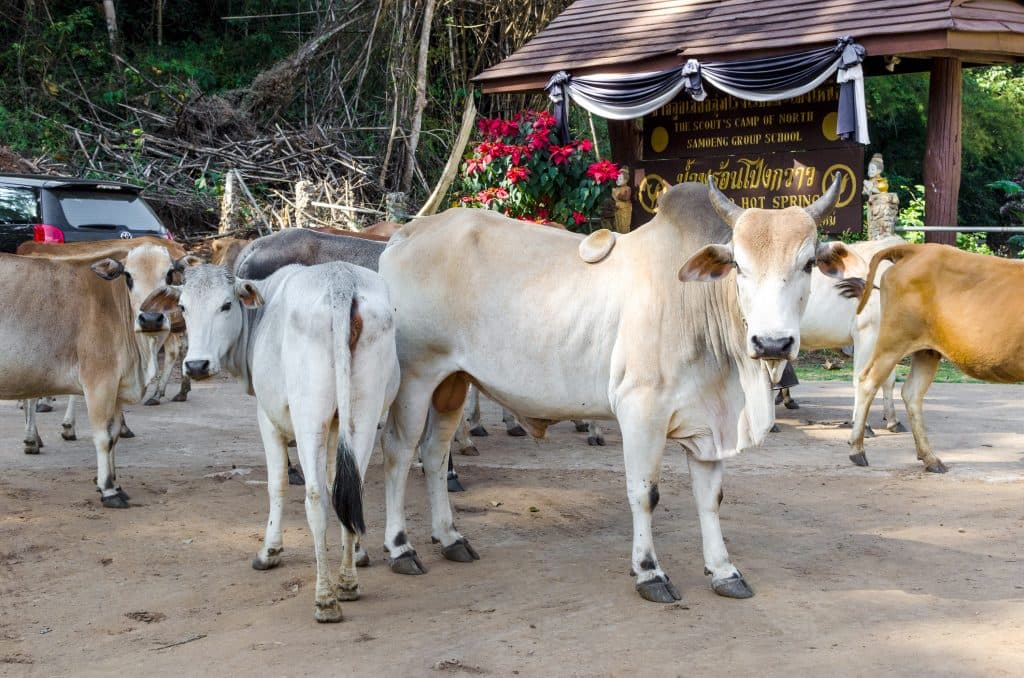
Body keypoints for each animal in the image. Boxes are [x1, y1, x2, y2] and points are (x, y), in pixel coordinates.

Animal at [0, 245, 180, 506]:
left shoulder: (116, 388)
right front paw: (108, 490)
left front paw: (115, 483)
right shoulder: (99, 383)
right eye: (128, 277)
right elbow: (103, 437)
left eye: (169, 275)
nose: (151, 319)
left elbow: (115, 434)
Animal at [142, 262, 399, 622]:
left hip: (309, 417)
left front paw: (270, 550)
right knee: (352, 487)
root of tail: (340, 282)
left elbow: (277, 483)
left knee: (315, 498)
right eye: (183, 306)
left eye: (226, 305)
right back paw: (347, 583)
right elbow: (340, 485)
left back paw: (325, 599)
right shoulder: (337, 425)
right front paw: (357, 553)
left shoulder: (267, 417)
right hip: (363, 413)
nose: (196, 365)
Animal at [375, 177, 857, 603]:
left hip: (452, 381)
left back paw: (450, 538)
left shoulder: (709, 425)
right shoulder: (641, 411)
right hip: (416, 376)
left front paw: (724, 571)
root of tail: (405, 234)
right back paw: (401, 547)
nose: (772, 343)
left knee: (435, 453)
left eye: (808, 264)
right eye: (739, 265)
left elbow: (711, 498)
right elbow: (645, 494)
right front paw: (649, 572)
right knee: (399, 451)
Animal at [848, 243, 1024, 473]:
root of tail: (917, 249)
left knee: (911, 393)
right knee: (867, 381)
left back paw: (930, 458)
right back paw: (857, 450)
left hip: (926, 351)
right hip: (893, 340)